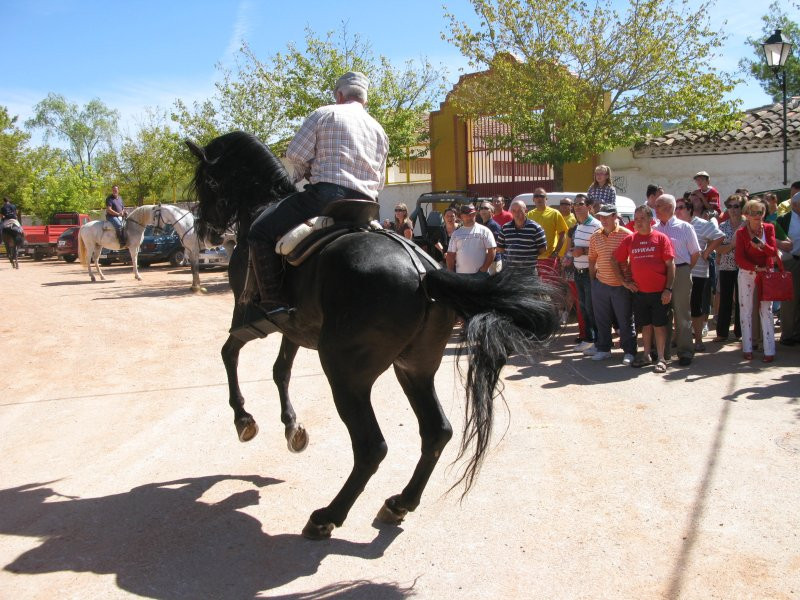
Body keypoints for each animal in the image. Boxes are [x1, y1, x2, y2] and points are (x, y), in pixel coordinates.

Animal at [189, 131, 564, 540]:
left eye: (207, 182)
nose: (205, 232)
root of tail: (423, 271)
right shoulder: (293, 326)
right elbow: (280, 371)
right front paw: (292, 428)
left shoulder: (248, 320)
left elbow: (229, 354)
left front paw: (244, 420)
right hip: (413, 369)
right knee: (437, 432)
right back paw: (400, 503)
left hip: (345, 375)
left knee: (372, 448)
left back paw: (327, 516)